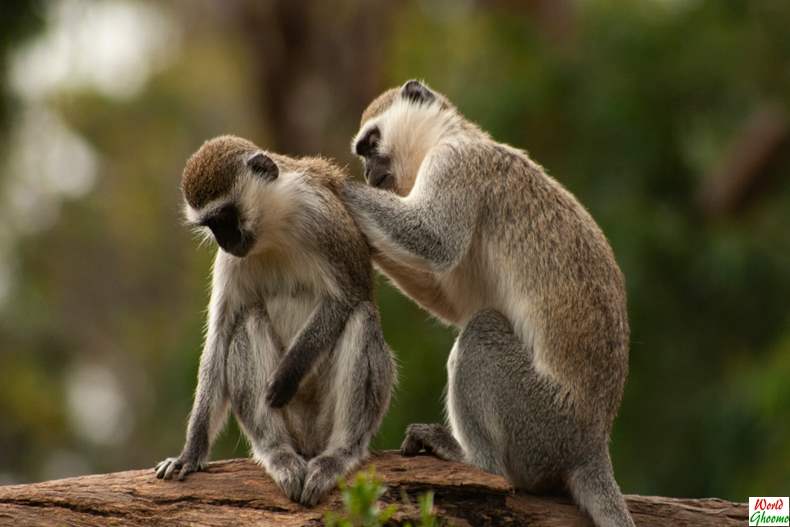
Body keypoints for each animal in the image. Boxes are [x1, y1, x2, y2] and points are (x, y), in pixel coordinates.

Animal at [156, 136, 396, 508]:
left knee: (362, 316)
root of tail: (309, 444)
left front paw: (287, 373)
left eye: (225, 216)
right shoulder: (230, 262)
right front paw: (190, 453)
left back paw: (338, 455)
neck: (273, 226)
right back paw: (278, 453)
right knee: (247, 321)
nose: (225, 240)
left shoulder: (324, 218)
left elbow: (351, 295)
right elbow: (219, 340)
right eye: (211, 225)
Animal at [344, 79, 636, 527]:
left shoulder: (455, 165)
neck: (448, 136)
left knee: (482, 330)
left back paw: (474, 461)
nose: (365, 173)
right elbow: (451, 298)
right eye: (362, 154)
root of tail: (591, 444)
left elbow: (433, 240)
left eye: (371, 144)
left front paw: (317, 178)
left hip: (540, 422)